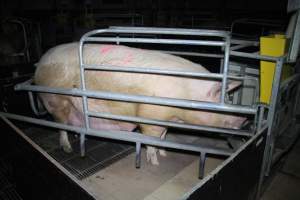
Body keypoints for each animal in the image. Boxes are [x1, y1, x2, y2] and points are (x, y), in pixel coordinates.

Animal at [34, 43, 246, 165]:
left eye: (229, 98)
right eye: (220, 100)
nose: (243, 120)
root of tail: (41, 61)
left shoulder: (166, 120)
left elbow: (163, 136)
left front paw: (164, 154)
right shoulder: (149, 116)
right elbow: (151, 139)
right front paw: (155, 162)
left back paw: (78, 137)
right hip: (55, 99)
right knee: (60, 126)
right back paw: (68, 148)